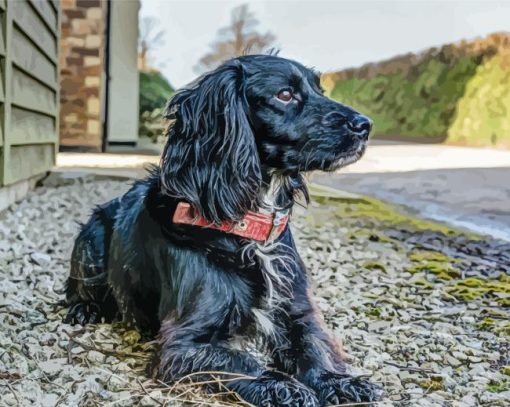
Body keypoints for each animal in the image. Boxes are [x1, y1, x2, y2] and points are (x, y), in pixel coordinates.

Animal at [64, 55, 378, 407]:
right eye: (284, 94)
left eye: (319, 90)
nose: (365, 125)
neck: (248, 227)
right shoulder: (183, 342)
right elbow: (240, 361)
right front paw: (283, 386)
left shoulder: (298, 311)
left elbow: (314, 346)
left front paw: (335, 380)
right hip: (91, 237)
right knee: (77, 288)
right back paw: (84, 309)